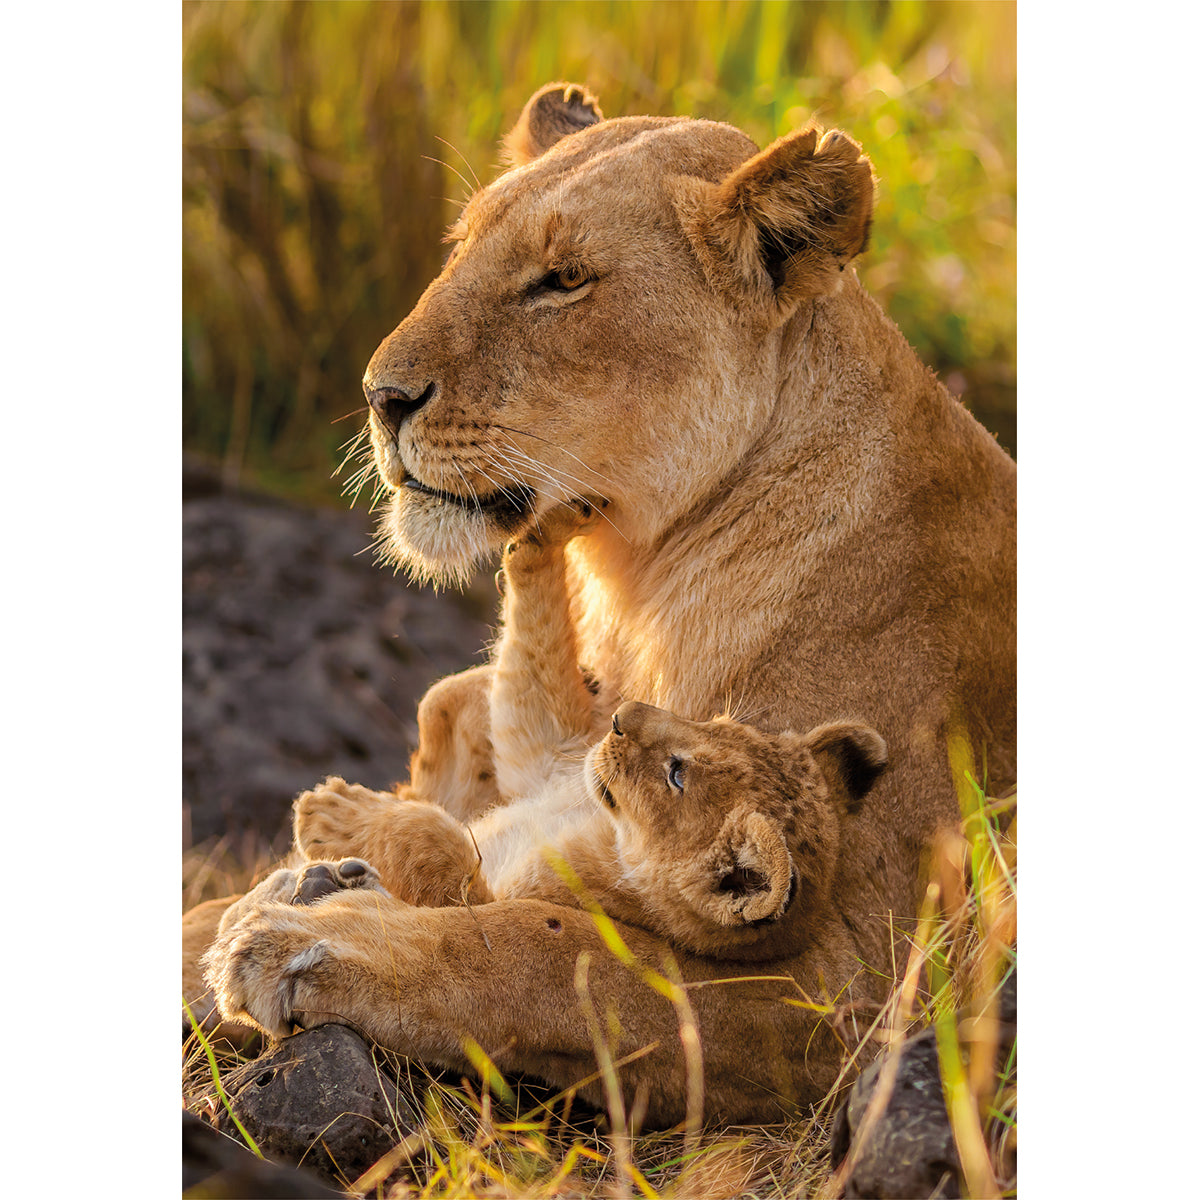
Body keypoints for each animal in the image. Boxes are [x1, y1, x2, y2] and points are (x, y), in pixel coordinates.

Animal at [192, 82, 1016, 1126]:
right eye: (460, 244)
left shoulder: (857, 975)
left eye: (563, 280)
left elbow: (545, 952)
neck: (646, 579)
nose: (380, 396)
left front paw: (312, 938)